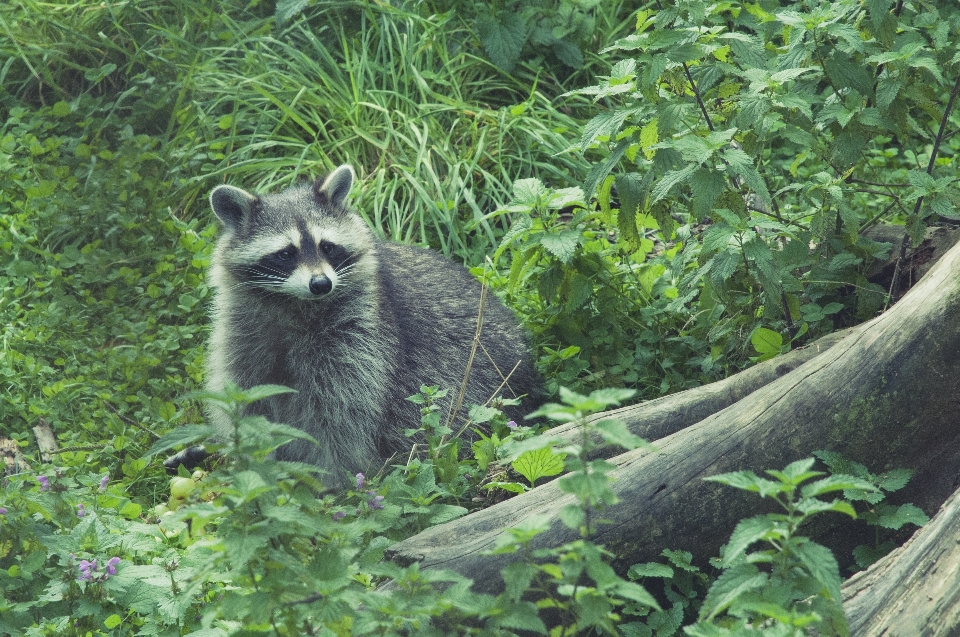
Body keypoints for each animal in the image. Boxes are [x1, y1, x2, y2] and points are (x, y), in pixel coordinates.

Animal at [204, 165, 540, 486]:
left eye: (327, 246)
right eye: (286, 253)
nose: (321, 284)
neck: (294, 304)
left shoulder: (361, 337)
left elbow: (341, 415)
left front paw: (335, 478)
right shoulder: (245, 336)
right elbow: (249, 405)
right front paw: (259, 468)